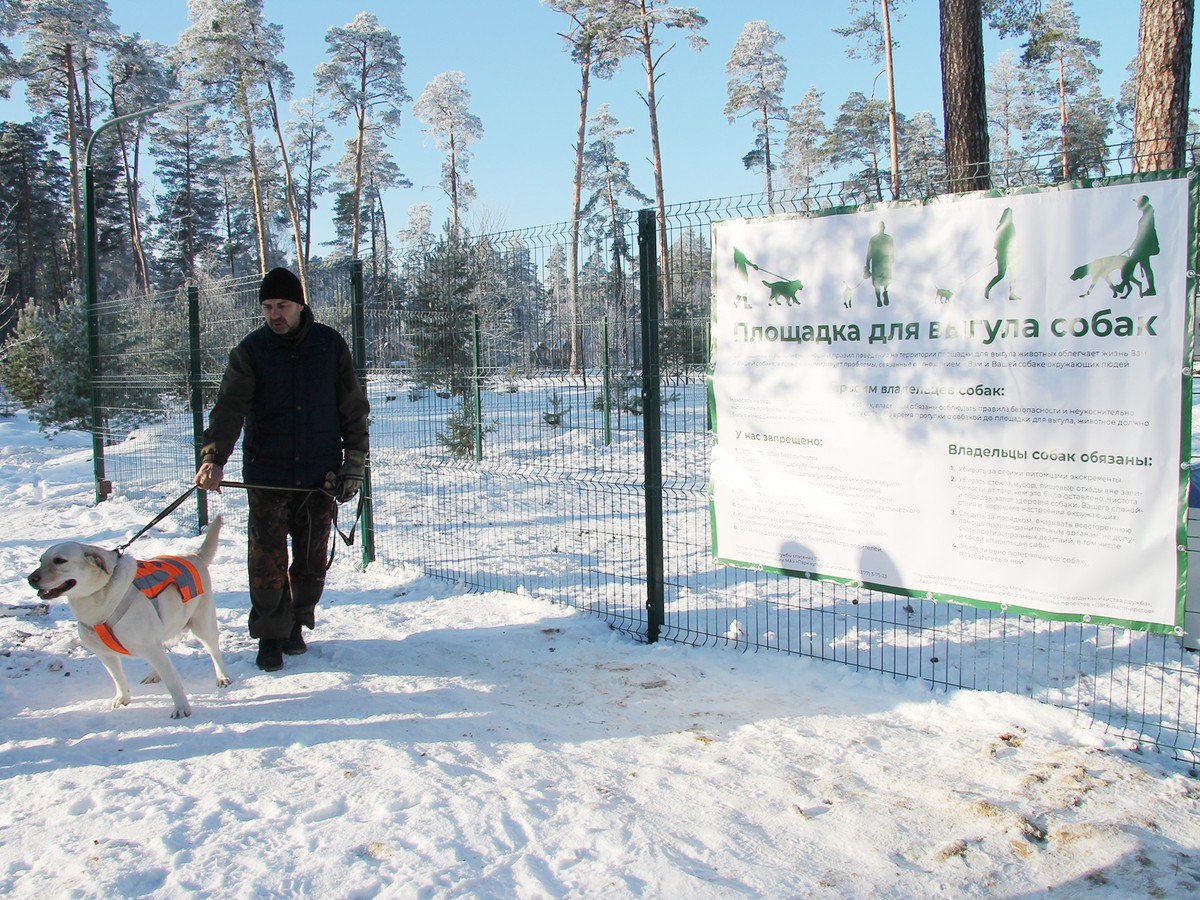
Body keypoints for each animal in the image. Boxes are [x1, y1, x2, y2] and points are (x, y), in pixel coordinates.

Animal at [27, 518, 231, 724]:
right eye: (41, 560)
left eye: (60, 560)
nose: (30, 579)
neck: (100, 595)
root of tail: (193, 555)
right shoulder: (105, 654)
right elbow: (118, 677)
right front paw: (122, 697)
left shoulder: (150, 646)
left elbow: (173, 682)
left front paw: (182, 708)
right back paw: (155, 674)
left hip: (202, 625)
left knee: (213, 652)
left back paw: (222, 676)